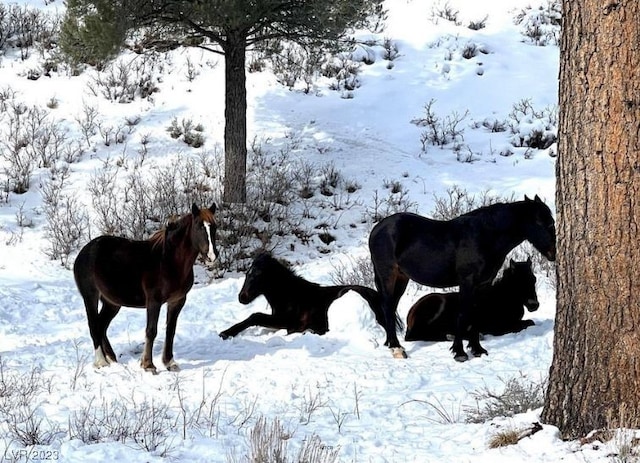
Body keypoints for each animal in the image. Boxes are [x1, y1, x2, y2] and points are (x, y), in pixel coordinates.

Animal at [74, 203, 219, 374]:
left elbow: (170, 331)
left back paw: (111, 358)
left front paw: (169, 362)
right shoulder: (154, 302)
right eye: (199, 226)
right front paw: (148, 365)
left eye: (214, 227)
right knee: (94, 326)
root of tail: (83, 252)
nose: (212, 256)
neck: (169, 261)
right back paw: (101, 361)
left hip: (112, 303)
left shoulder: (177, 301)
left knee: (101, 326)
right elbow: (151, 331)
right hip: (91, 296)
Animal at [218, 254, 392, 340]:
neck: (290, 296)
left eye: (259, 275)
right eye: (247, 274)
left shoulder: (287, 321)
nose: (242, 297)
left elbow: (255, 316)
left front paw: (226, 333)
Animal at [404, 260, 540, 342]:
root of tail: (411, 311)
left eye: (534, 279)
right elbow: (525, 324)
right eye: (519, 282)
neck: (501, 298)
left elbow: (530, 322)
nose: (534, 305)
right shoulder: (497, 327)